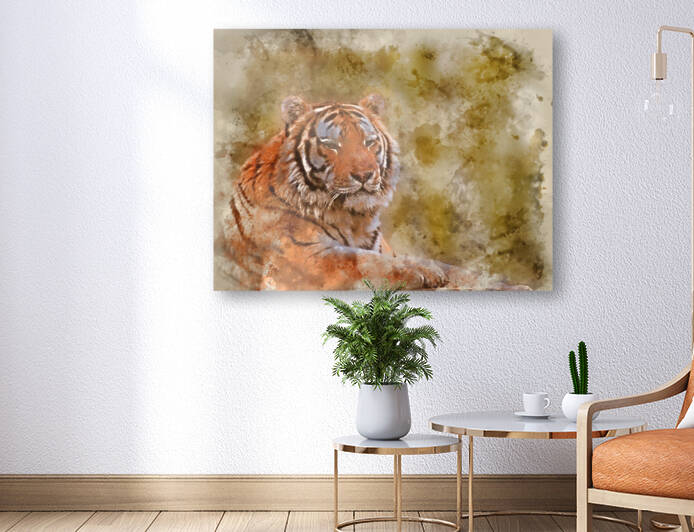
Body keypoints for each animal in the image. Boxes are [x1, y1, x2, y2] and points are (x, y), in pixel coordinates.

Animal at [217, 93, 518, 290]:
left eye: (369, 142)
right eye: (332, 144)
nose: (364, 174)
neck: (354, 218)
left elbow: (452, 268)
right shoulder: (304, 259)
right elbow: (363, 260)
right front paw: (422, 272)